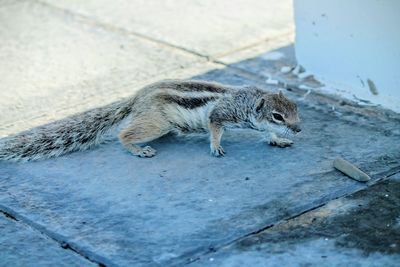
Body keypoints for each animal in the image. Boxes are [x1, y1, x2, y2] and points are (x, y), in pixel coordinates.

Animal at [0, 79, 300, 162]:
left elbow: (266, 134)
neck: (249, 99)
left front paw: (279, 139)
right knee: (124, 135)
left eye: (296, 108)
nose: (298, 129)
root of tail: (136, 98)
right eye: (277, 115)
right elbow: (214, 126)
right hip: (156, 122)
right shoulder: (222, 113)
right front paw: (215, 146)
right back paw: (138, 149)